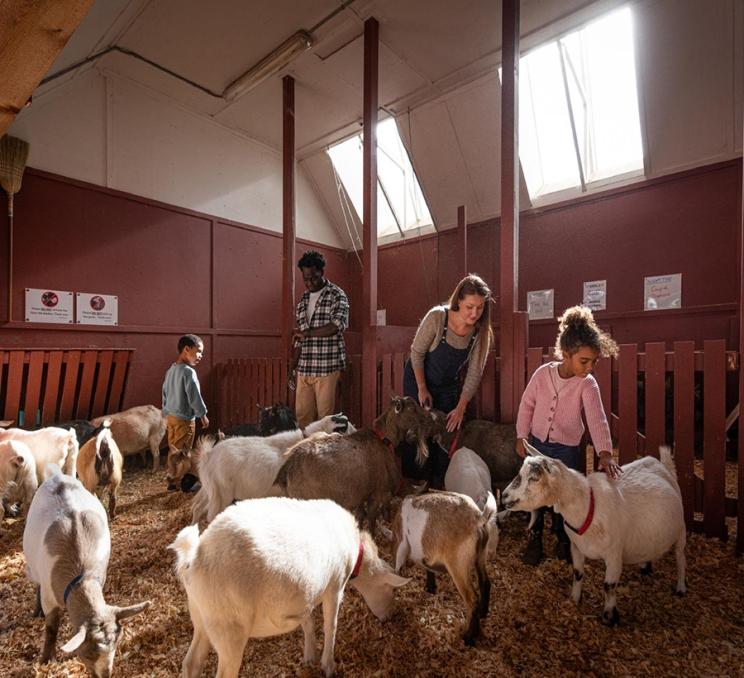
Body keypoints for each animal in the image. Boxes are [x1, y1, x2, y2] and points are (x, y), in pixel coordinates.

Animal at [22, 470, 150, 676]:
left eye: (116, 646)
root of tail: (57, 475)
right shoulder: (49, 596)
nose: (105, 675)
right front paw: (46, 659)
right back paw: (36, 611)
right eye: (88, 654)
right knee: (37, 583)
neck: (80, 577)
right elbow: (51, 627)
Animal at [396, 492, 494, 644]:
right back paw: (483, 613)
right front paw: (430, 588)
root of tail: (479, 518)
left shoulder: (402, 542)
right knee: (485, 582)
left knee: (472, 598)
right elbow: (428, 567)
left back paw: (469, 637)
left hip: (458, 564)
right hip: (481, 555)